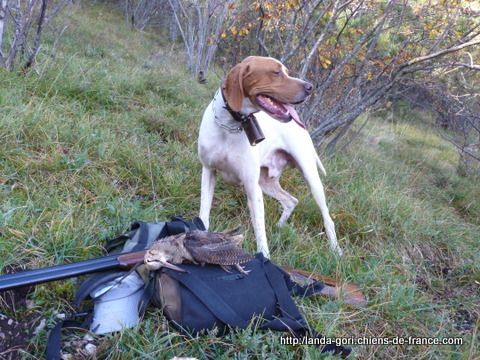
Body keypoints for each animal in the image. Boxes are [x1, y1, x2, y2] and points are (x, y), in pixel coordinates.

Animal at [198, 56, 342, 258]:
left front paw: (264, 259)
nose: (310, 87)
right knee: (291, 201)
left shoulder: (252, 187)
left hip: (311, 179)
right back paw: (280, 227)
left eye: (287, 72)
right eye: (276, 72)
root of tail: (303, 128)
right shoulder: (209, 171)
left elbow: (260, 231)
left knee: (328, 218)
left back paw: (336, 250)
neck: (231, 126)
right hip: (265, 182)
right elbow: (204, 213)